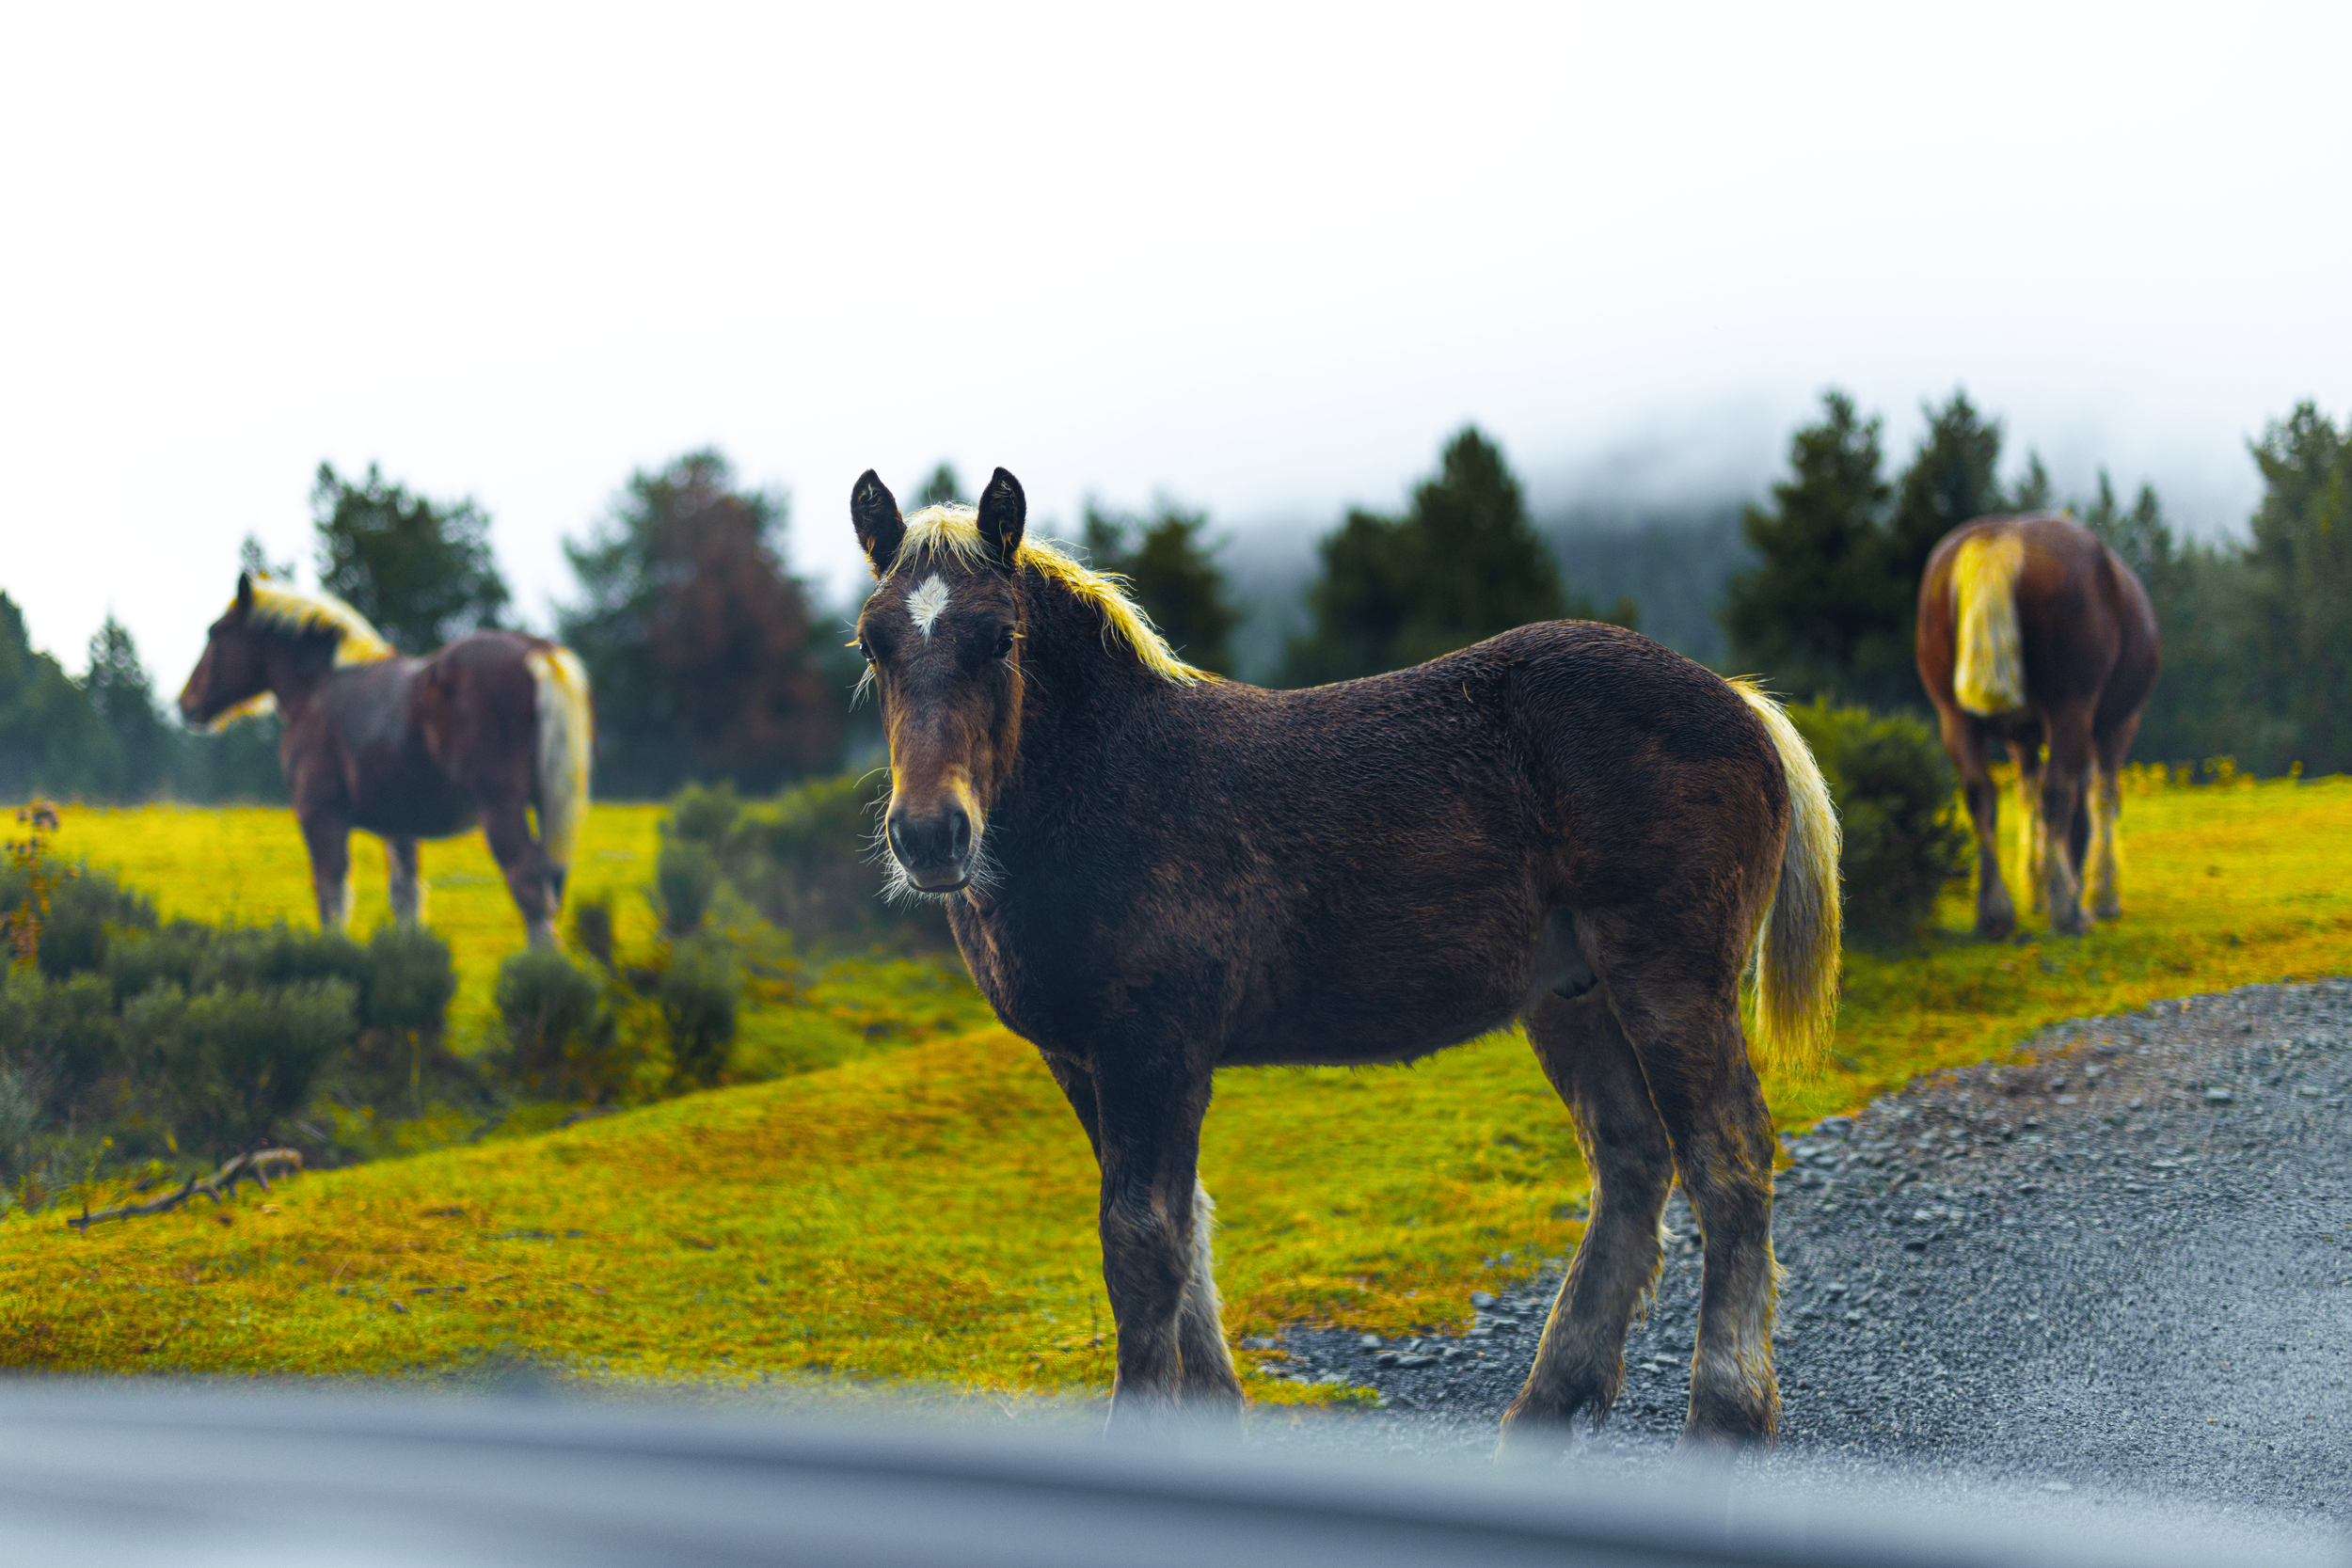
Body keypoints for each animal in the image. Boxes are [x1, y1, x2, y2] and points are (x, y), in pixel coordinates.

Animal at [177, 574, 594, 944]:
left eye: (215, 632)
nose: (186, 703)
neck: (318, 687)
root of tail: (536, 651)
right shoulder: (402, 827)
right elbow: (406, 898)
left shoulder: (320, 816)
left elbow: (332, 897)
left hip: (499, 809)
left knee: (530, 889)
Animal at [845, 467, 1842, 1449]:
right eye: (871, 644)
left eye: (1001, 639)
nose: (930, 835)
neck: (1111, 787)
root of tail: (1743, 702)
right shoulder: (1080, 1057)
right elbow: (1185, 1227)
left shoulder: (1154, 1046)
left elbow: (1143, 1241)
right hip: (1572, 996)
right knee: (1631, 1164)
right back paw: (1547, 1403)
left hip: (1670, 978)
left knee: (1728, 1158)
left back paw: (1725, 1412)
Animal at [1915, 513, 2159, 940]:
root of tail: (2000, 536)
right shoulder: (2118, 725)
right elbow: (2100, 799)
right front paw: (2099, 895)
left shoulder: (2022, 736)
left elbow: (2028, 794)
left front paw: (2040, 882)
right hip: (2072, 706)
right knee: (2059, 790)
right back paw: (2068, 910)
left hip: (1953, 716)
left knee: (1980, 794)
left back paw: (1995, 911)